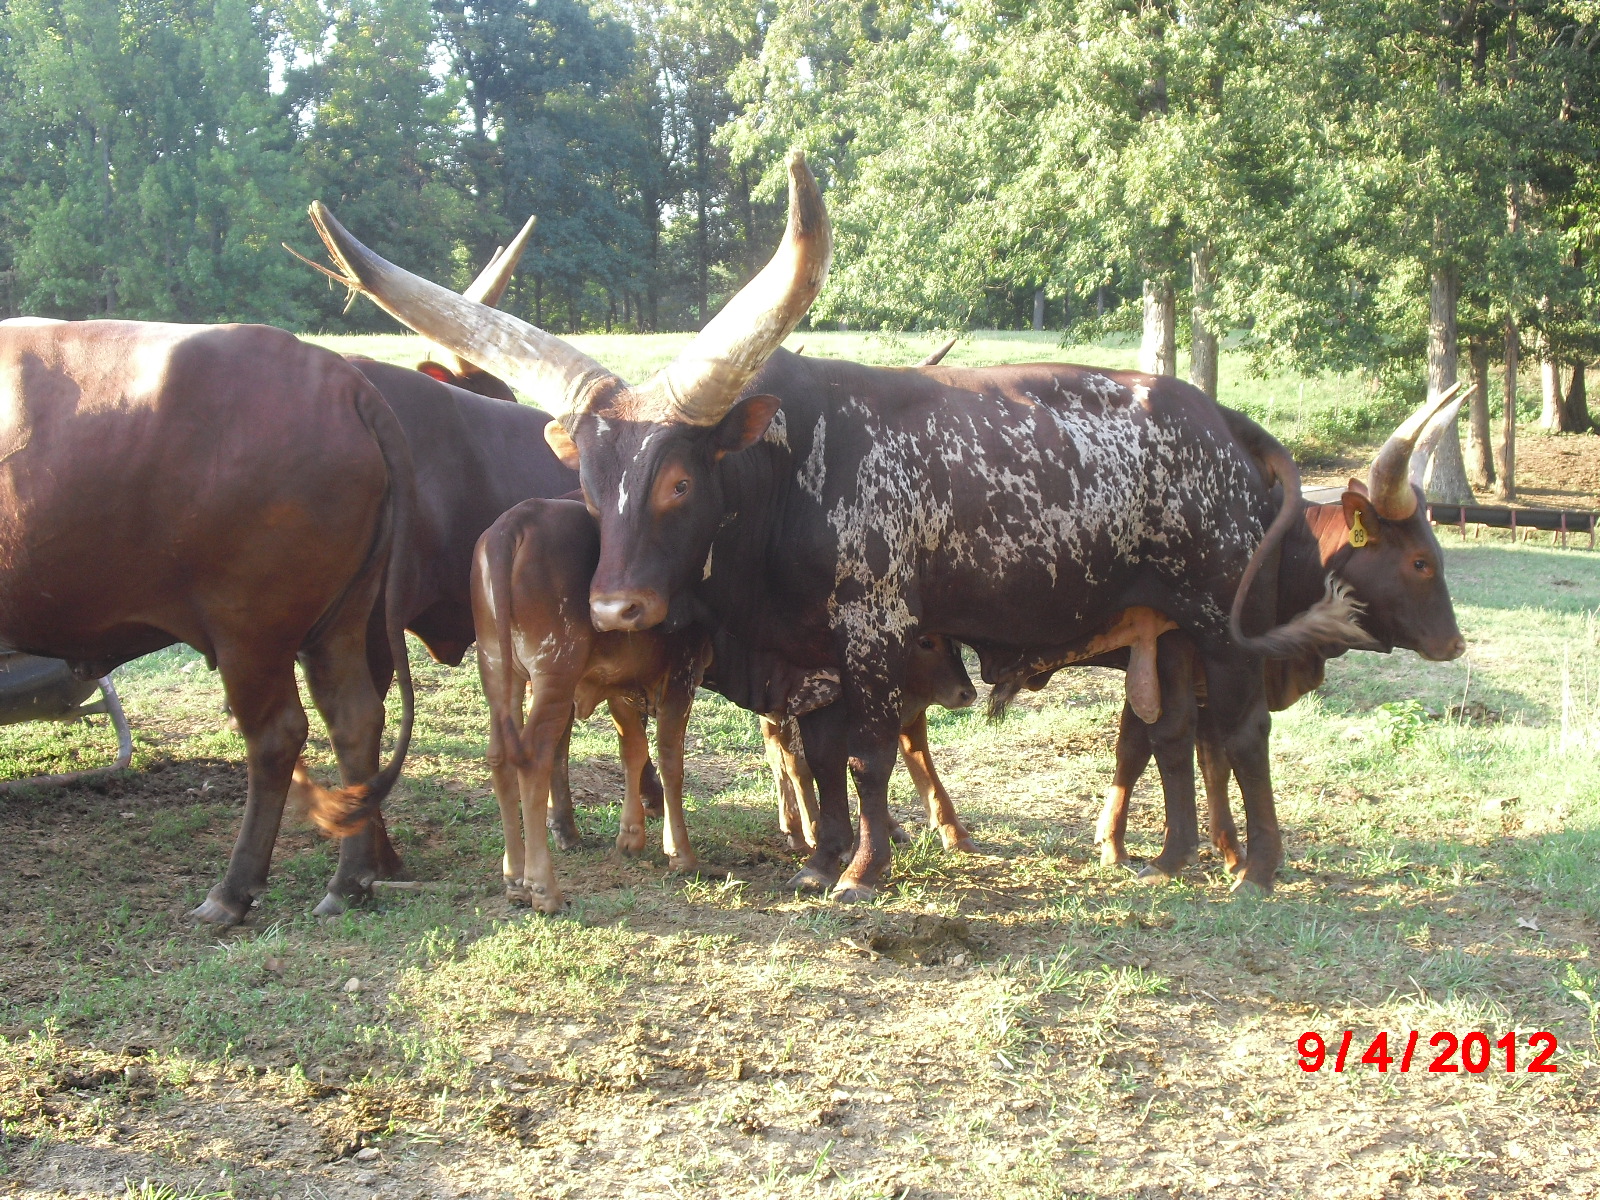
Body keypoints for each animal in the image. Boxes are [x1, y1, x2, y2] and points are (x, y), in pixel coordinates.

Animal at [0, 320, 419, 924]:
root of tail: (344, 381)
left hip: (249, 628)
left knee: (276, 736)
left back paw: (232, 891)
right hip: (338, 620)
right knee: (355, 718)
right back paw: (349, 881)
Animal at [303, 153, 1443, 902]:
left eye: (676, 482)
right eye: (587, 479)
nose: (617, 606)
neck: (781, 482)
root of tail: (1218, 419)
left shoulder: (876, 633)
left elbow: (864, 756)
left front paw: (863, 869)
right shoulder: (801, 653)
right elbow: (813, 758)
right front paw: (819, 858)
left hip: (1216, 619)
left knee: (1237, 732)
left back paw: (1258, 868)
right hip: (1160, 630)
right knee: (1169, 736)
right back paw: (1168, 861)